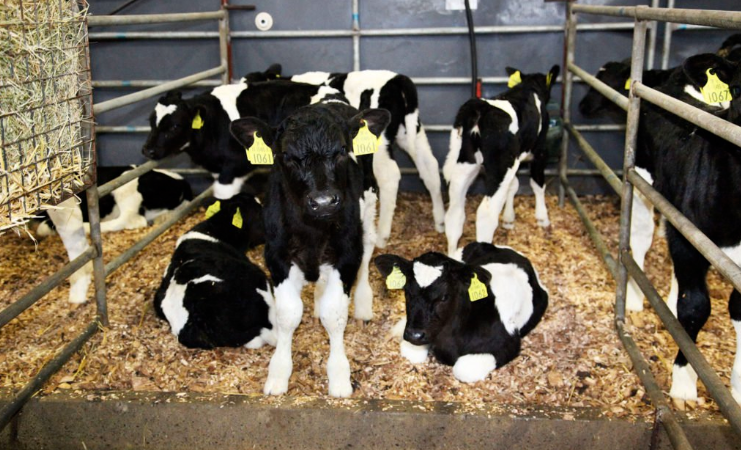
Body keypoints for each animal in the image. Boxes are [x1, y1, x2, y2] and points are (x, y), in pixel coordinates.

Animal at [229, 102, 390, 397]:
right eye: (286, 155)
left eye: (342, 150)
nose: (324, 201)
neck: (313, 231)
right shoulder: (277, 257)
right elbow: (287, 314)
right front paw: (278, 373)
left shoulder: (346, 254)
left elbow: (335, 314)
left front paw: (339, 376)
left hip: (370, 202)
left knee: (367, 251)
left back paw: (363, 304)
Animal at [244, 65, 445, 247]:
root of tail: (397, 78)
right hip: (412, 132)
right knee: (430, 167)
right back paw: (441, 222)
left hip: (380, 145)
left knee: (390, 176)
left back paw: (382, 236)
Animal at [374, 242, 548, 382]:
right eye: (407, 292)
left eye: (444, 296)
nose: (414, 335)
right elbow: (411, 353)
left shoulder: (508, 344)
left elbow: (462, 369)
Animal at [443, 65, 560, 256]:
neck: (530, 86)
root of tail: (480, 106)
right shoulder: (540, 151)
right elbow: (537, 184)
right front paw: (542, 217)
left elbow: (514, 185)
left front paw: (508, 219)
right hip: (500, 168)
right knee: (486, 214)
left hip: (466, 165)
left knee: (454, 213)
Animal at [631, 53, 741, 408]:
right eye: (739, 88)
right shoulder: (687, 238)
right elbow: (694, 308)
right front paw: (683, 384)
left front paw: (737, 387)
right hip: (642, 177)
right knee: (640, 236)